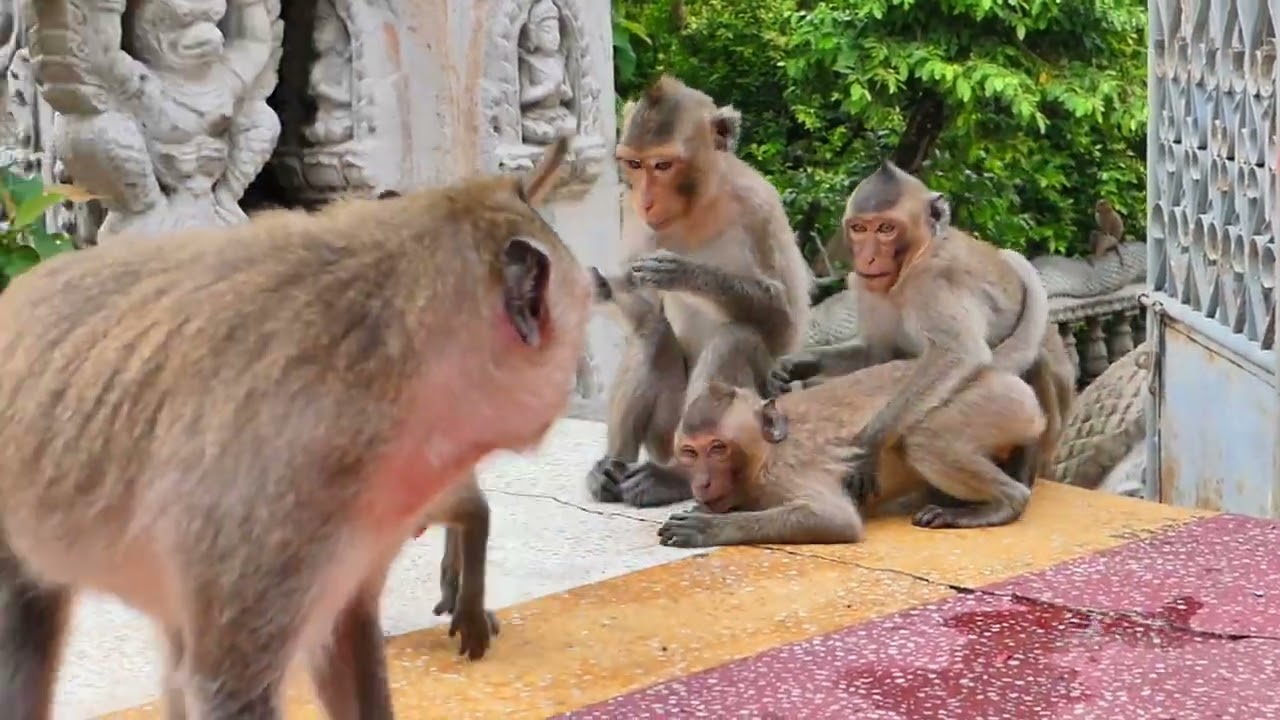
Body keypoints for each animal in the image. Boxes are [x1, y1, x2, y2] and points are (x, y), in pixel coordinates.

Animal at [585, 75, 811, 509]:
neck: (695, 208)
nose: (646, 198)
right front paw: (595, 285)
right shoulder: (632, 215)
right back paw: (613, 467)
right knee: (652, 335)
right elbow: (645, 310)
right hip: (664, 433)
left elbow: (784, 322)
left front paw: (685, 273)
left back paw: (672, 478)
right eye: (635, 164)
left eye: (663, 165)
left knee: (735, 338)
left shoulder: (760, 206)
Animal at [655, 359, 1048, 548]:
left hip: (997, 403)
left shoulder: (784, 472)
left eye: (718, 448)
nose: (702, 482)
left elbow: (834, 519)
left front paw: (708, 528)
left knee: (923, 440)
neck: (765, 453)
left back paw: (1002, 503)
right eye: (690, 453)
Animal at [770, 160, 1074, 500]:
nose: (868, 257)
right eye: (860, 228)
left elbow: (957, 353)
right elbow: (879, 353)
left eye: (886, 229)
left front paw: (868, 444)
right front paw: (794, 365)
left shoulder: (933, 280)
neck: (912, 263)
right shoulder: (864, 284)